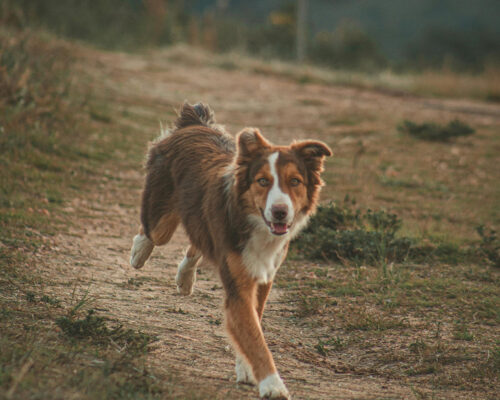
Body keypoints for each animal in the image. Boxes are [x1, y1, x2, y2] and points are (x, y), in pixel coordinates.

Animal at [131, 102, 330, 396]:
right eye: (262, 181)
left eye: (295, 181)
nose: (280, 212)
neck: (256, 224)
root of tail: (196, 123)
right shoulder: (239, 285)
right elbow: (255, 338)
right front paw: (273, 384)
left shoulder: (264, 276)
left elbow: (253, 327)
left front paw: (247, 370)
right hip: (161, 220)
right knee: (152, 232)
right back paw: (139, 252)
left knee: (198, 242)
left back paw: (185, 278)